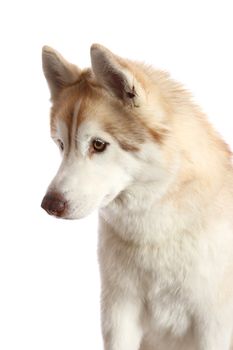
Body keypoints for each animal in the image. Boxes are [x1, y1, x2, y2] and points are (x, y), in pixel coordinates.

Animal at [41, 45, 233, 348]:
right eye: (61, 144)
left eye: (98, 144)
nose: (49, 204)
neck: (155, 235)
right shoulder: (119, 313)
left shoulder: (213, 324)